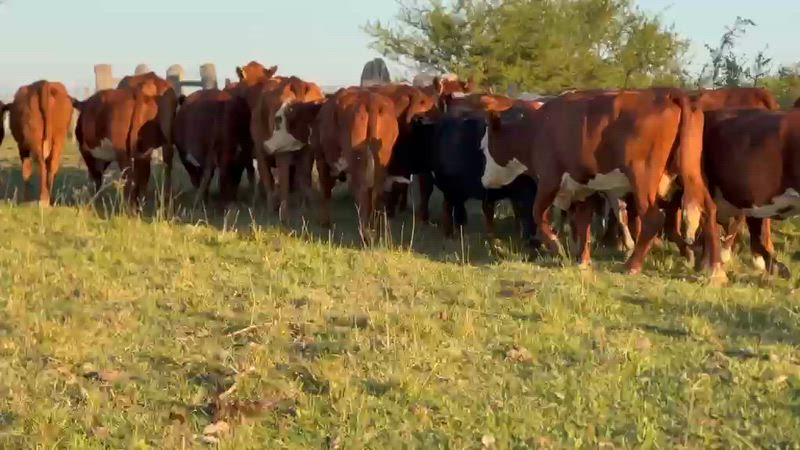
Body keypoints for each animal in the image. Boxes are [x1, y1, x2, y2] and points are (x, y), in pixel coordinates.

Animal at [312, 88, 399, 240]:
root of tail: (371, 101)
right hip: (381, 160)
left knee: (363, 191)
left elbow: (326, 190)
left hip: (357, 162)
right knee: (376, 192)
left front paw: (324, 221)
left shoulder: (322, 159)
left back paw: (364, 233)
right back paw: (374, 228)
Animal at [487, 88, 724, 280]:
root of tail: (668, 94)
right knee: (709, 209)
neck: (537, 128)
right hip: (689, 171)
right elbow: (583, 223)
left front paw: (556, 246)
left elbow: (538, 214)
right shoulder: (583, 188)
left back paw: (632, 265)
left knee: (652, 218)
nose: (486, 179)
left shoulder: (549, 180)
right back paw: (714, 268)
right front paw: (582, 260)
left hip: (642, 175)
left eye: (487, 141)